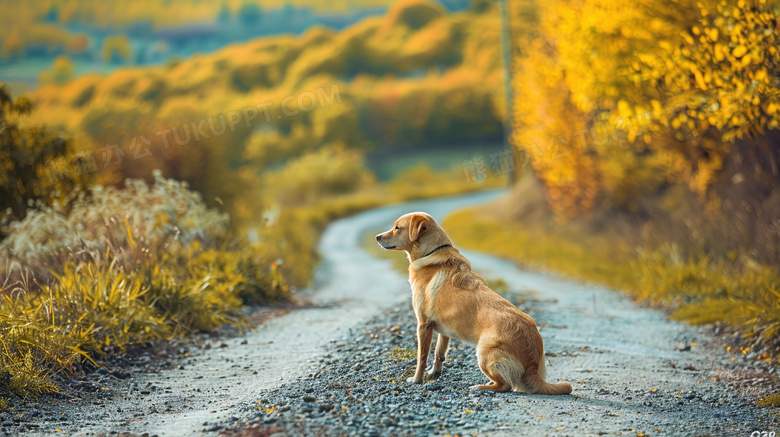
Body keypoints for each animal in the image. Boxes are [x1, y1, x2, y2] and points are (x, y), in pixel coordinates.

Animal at [374, 212, 568, 396]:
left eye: (397, 227)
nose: (377, 236)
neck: (431, 252)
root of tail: (533, 363)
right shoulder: (444, 329)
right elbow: (439, 353)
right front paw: (434, 374)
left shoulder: (424, 325)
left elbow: (421, 357)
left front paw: (416, 380)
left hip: (484, 351)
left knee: (505, 385)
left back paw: (480, 387)